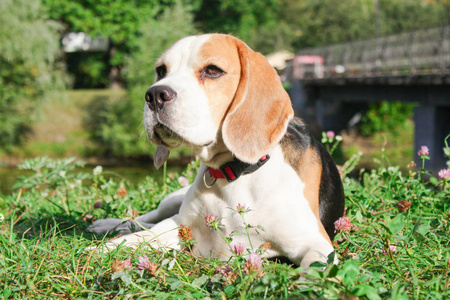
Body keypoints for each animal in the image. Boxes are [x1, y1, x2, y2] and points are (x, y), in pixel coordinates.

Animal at [89, 34, 344, 268]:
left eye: (212, 70)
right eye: (161, 70)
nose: (154, 95)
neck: (235, 173)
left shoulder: (315, 243)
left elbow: (312, 272)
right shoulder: (180, 226)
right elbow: (138, 238)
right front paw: (98, 249)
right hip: (172, 200)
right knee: (146, 218)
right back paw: (110, 224)